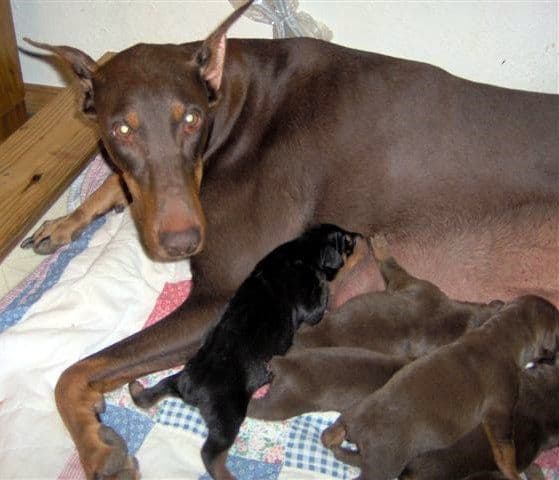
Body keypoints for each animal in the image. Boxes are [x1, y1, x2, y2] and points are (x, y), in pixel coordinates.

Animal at [129, 225, 360, 480]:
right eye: (347, 242)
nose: (359, 236)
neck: (303, 249)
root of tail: (191, 388)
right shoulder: (310, 303)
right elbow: (319, 303)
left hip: (178, 379)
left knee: (154, 391)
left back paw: (136, 389)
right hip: (228, 415)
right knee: (210, 454)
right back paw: (227, 475)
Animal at [320, 296, 559, 480]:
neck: (500, 334)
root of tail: (359, 427)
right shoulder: (501, 410)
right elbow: (505, 450)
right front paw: (513, 473)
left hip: (354, 411)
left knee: (332, 431)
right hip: (384, 464)